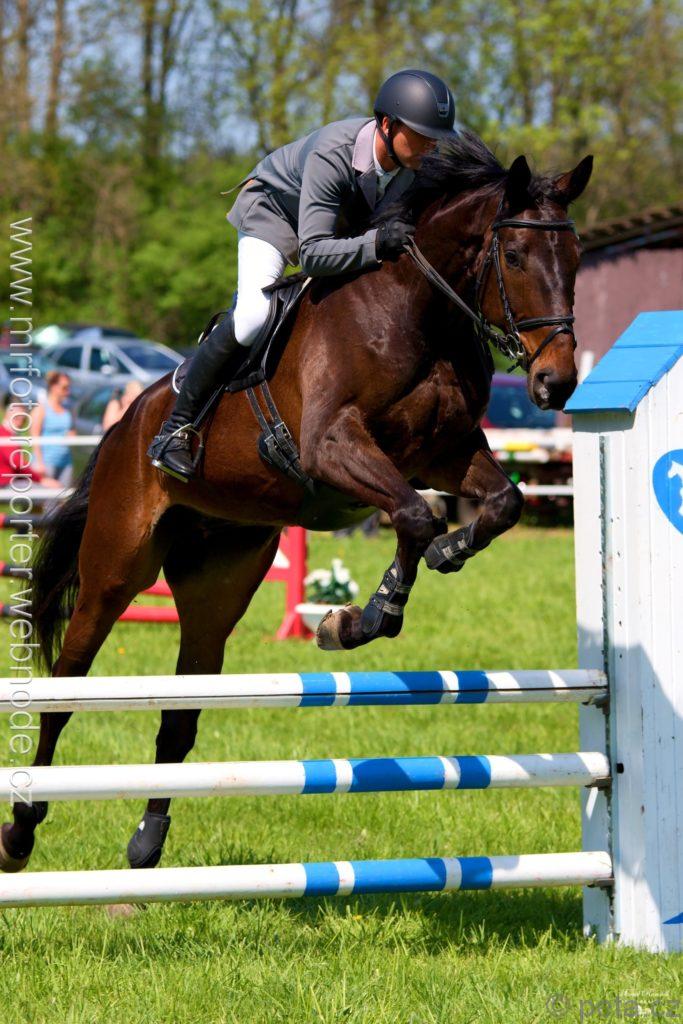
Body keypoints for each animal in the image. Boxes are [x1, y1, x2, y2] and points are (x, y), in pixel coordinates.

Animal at [0, 130, 592, 872]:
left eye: (576, 258)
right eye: (513, 256)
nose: (555, 384)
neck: (417, 312)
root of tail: (123, 425)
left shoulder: (440, 455)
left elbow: (491, 506)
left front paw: (392, 592)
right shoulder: (333, 447)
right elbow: (416, 514)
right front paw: (370, 613)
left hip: (216, 586)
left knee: (181, 710)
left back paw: (147, 838)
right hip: (114, 569)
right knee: (66, 687)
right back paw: (22, 830)